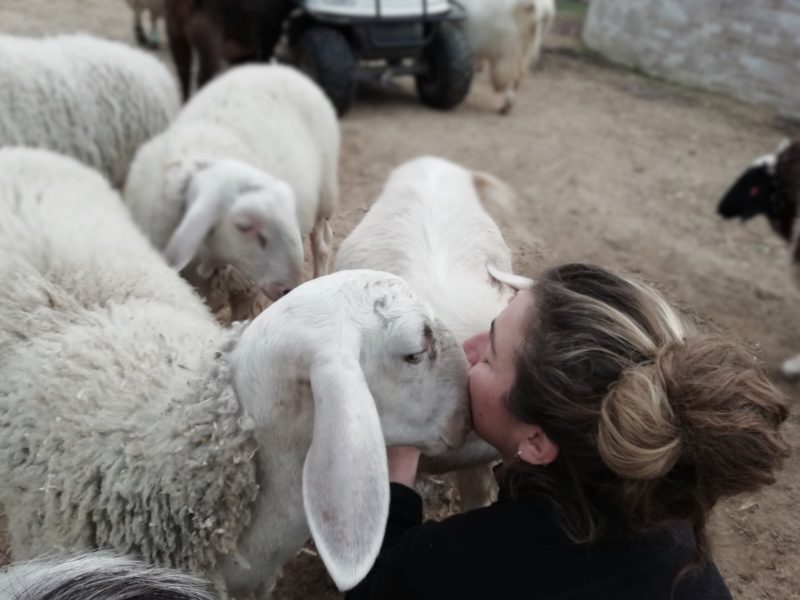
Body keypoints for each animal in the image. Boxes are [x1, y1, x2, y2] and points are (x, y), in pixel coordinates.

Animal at [123, 64, 340, 304]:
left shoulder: (242, 286)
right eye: (244, 226)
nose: (288, 289)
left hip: (324, 197)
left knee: (322, 245)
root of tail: (271, 67)